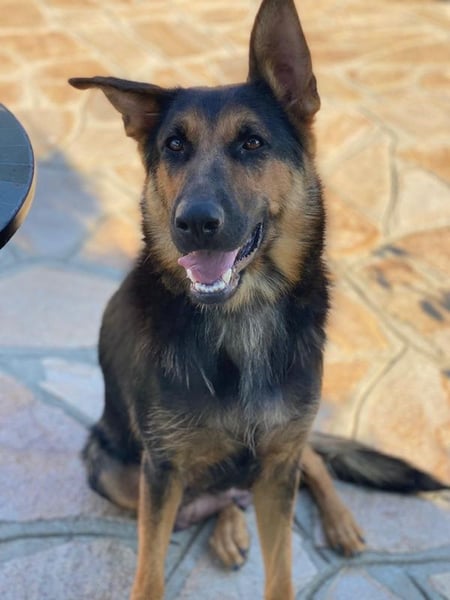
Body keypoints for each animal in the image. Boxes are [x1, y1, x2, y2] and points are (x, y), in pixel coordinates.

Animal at [69, 1, 447, 598]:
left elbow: (283, 568)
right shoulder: (162, 470)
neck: (242, 315)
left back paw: (338, 521)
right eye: (174, 146)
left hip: (277, 453)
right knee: (211, 495)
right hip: (110, 466)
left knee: (311, 459)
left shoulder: (278, 464)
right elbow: (150, 568)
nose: (193, 224)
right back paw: (229, 525)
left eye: (252, 143)